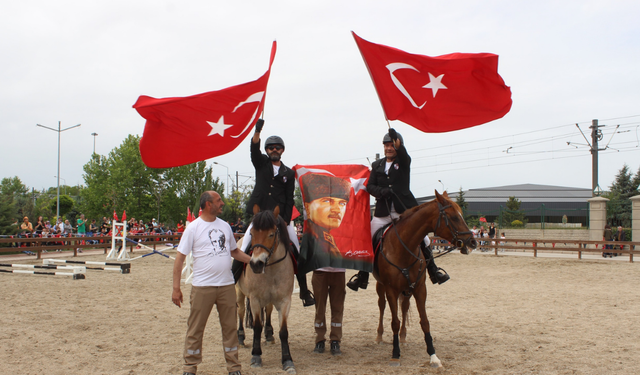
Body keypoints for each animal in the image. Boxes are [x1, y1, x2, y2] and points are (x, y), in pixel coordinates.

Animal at [235, 207, 298, 374]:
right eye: (252, 233)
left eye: (271, 234)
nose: (256, 264)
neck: (271, 268)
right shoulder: (255, 300)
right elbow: (256, 327)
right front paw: (256, 356)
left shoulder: (285, 301)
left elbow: (283, 331)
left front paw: (287, 360)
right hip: (239, 292)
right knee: (241, 311)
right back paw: (240, 337)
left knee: (268, 310)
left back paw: (269, 333)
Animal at [376, 192, 476, 368]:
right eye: (454, 217)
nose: (472, 242)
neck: (404, 247)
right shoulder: (391, 290)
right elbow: (394, 321)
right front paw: (395, 354)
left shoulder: (420, 288)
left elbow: (424, 321)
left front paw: (433, 355)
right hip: (381, 286)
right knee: (382, 305)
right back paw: (380, 336)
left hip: (407, 289)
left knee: (404, 307)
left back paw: (403, 337)